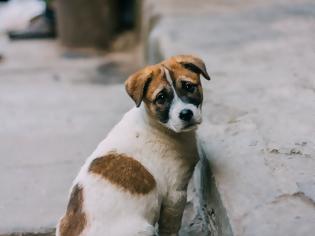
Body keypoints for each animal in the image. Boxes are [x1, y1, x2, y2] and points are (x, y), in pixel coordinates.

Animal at [55, 54, 211, 235]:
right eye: (161, 98)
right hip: (144, 229)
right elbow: (170, 229)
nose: (186, 114)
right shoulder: (175, 195)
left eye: (188, 86)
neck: (158, 126)